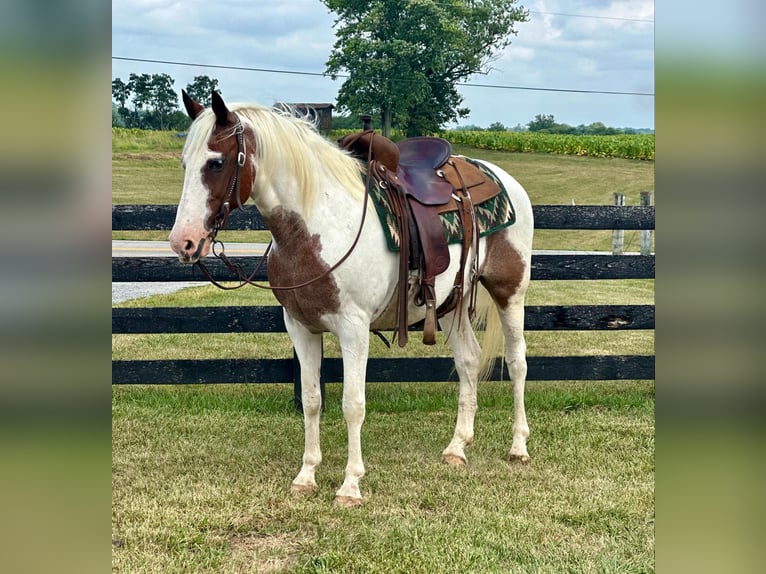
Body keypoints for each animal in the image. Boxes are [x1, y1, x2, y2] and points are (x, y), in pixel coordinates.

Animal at [169, 90, 534, 507]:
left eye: (216, 162)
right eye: (185, 163)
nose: (183, 242)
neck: (317, 224)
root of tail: (501, 177)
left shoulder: (353, 329)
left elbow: (352, 404)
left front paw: (350, 485)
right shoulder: (300, 326)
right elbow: (312, 399)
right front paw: (306, 475)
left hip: (510, 291)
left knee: (517, 362)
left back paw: (518, 446)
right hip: (450, 303)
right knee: (469, 361)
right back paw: (457, 447)